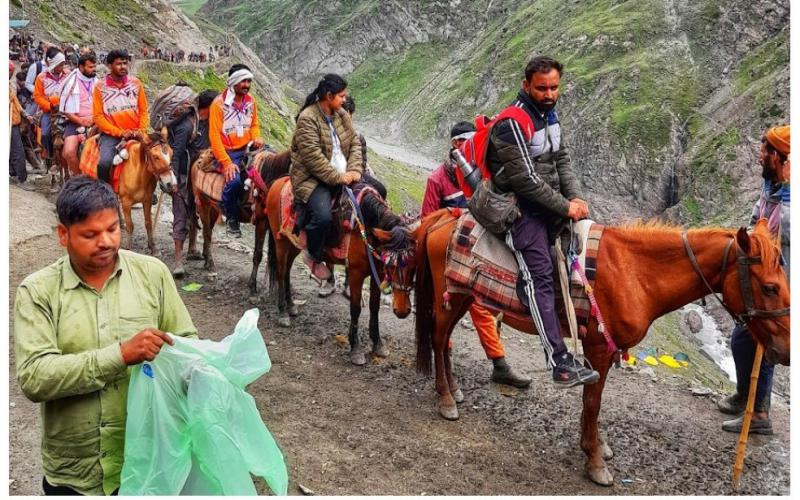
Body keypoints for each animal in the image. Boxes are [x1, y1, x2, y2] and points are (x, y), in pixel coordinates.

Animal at [266, 178, 416, 366]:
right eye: (392, 265)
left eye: (413, 266)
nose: (402, 311)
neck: (365, 227)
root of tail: (279, 182)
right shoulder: (356, 274)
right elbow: (356, 308)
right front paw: (355, 348)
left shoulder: (377, 274)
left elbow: (374, 307)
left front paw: (378, 344)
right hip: (280, 242)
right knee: (280, 273)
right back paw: (283, 313)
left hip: (294, 243)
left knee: (286, 272)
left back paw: (292, 306)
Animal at [410, 210, 792, 484]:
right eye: (770, 287)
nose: (785, 352)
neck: (634, 273)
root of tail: (443, 217)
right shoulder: (598, 347)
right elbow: (592, 402)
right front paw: (594, 461)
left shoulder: (601, 350)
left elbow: (592, 401)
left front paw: (596, 445)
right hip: (450, 297)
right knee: (438, 338)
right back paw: (446, 400)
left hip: (462, 297)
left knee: (444, 341)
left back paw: (455, 390)